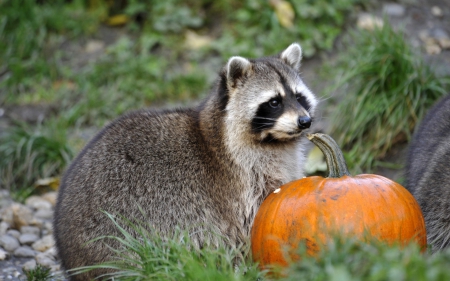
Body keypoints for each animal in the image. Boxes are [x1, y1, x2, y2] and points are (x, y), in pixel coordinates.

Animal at [54, 42, 318, 278]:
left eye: (299, 97)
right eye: (274, 102)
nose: (305, 121)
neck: (274, 141)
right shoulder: (241, 184)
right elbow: (248, 225)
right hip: (125, 232)